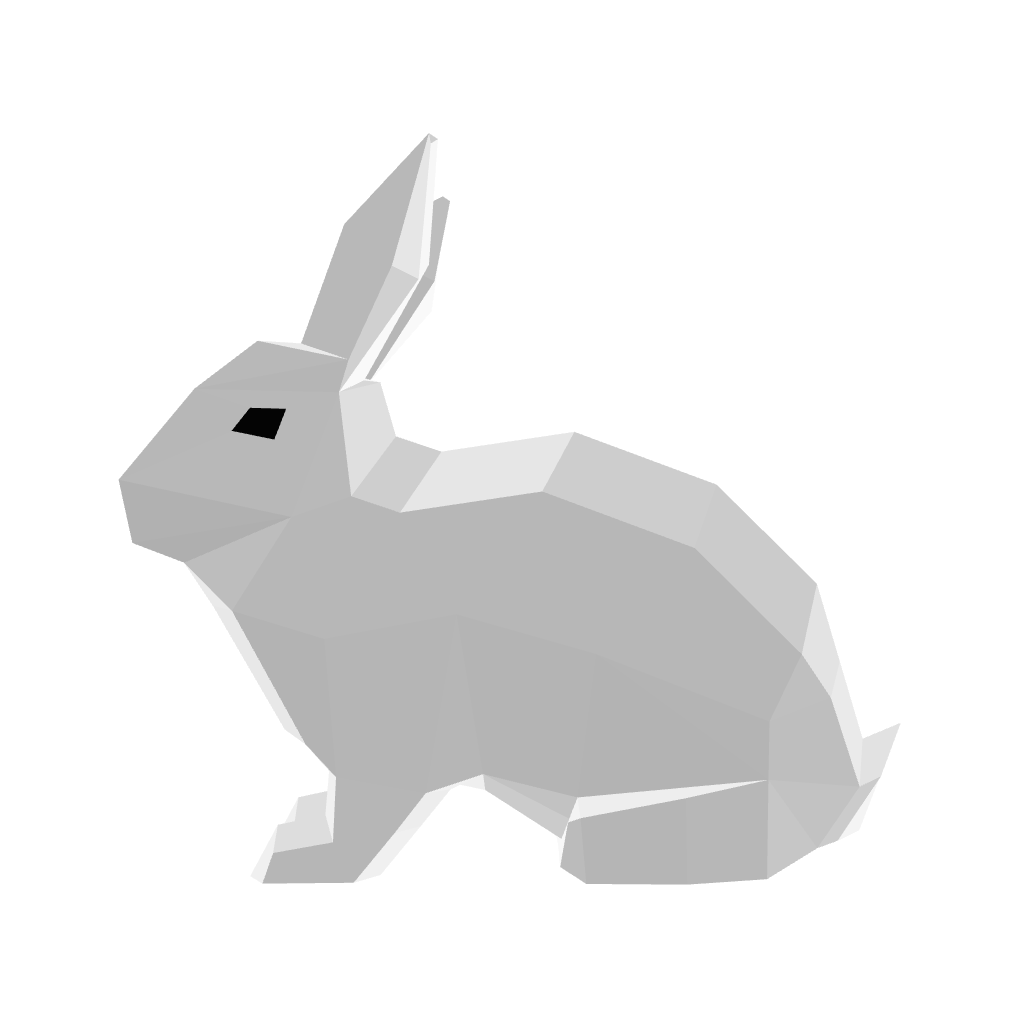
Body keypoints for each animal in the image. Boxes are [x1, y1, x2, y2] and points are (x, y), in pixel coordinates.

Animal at [119, 134, 899, 885]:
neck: (332, 514)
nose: (130, 493)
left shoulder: (391, 742)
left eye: (260, 423)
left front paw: (297, 865)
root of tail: (843, 787)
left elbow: (369, 820)